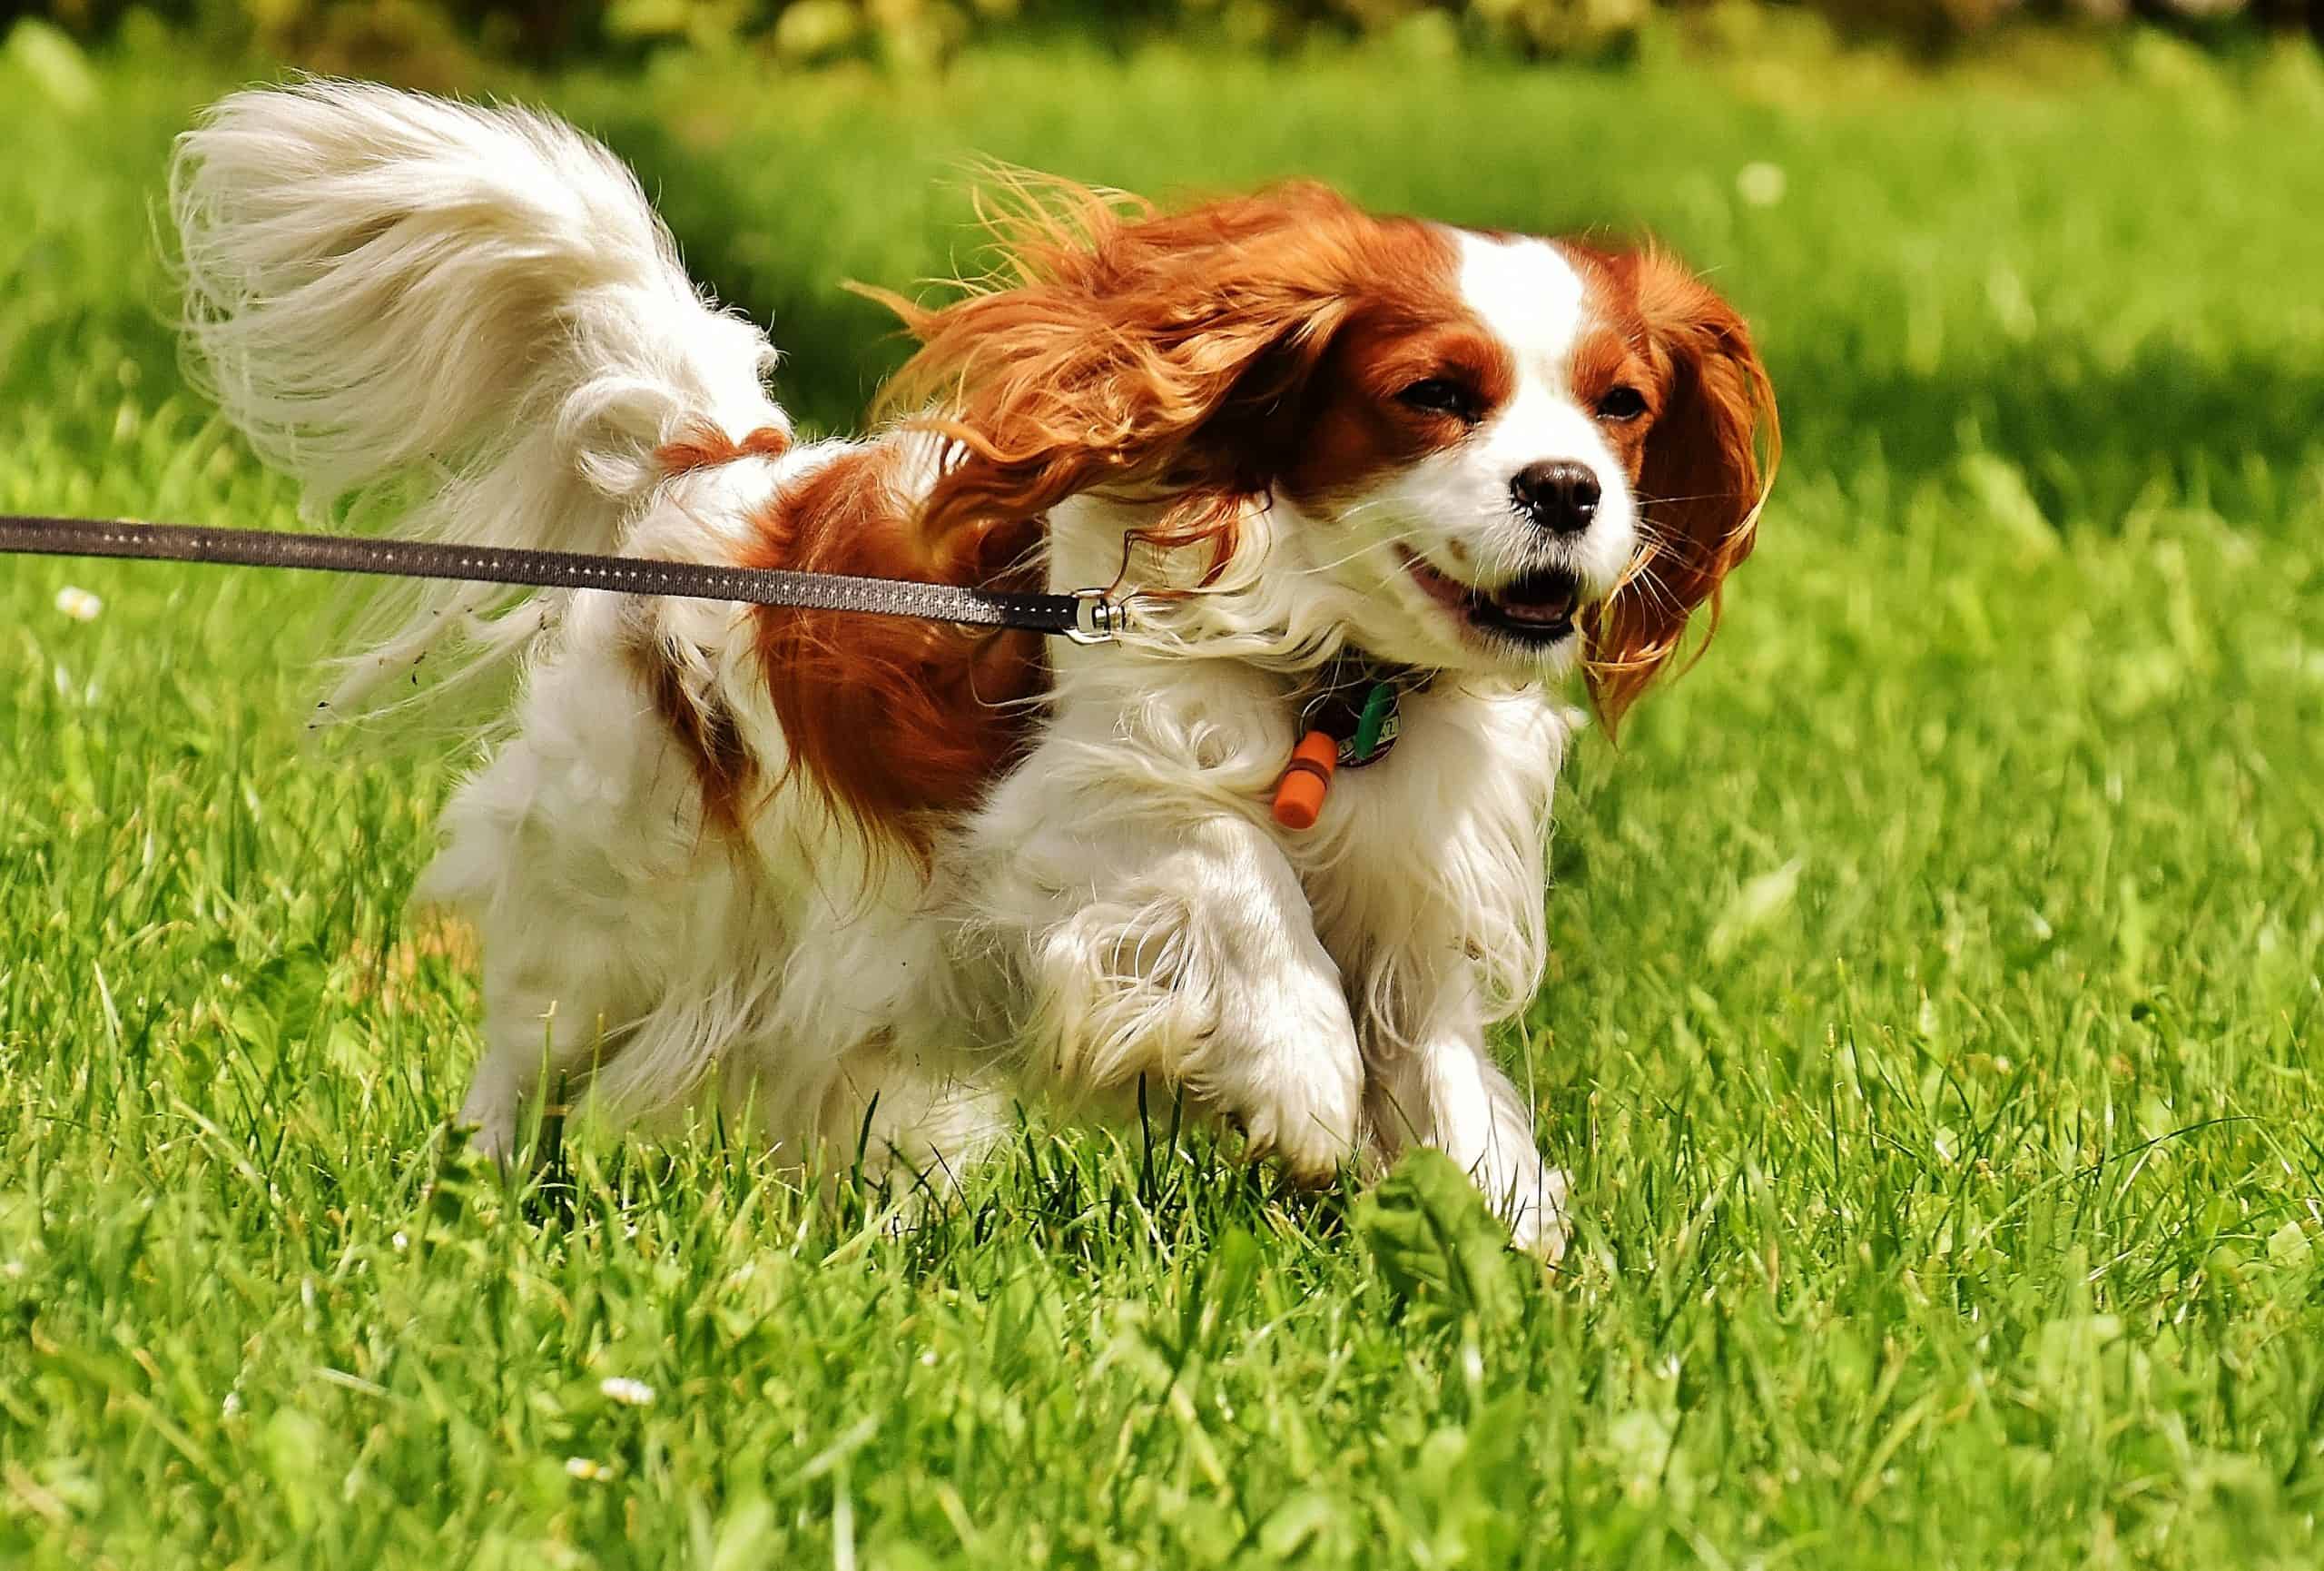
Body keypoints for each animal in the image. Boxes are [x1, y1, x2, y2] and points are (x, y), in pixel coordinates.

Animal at [176, 88, 1775, 1264]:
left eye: (1623, 408)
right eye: (1436, 395)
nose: (1565, 488)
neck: (1332, 667)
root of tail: (718, 467)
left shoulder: (1414, 912)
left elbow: (1442, 1078)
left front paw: (1516, 1241)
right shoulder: (1058, 828)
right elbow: (1240, 874)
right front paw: (1303, 1081)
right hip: (617, 895)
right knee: (528, 1041)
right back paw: (477, 1192)